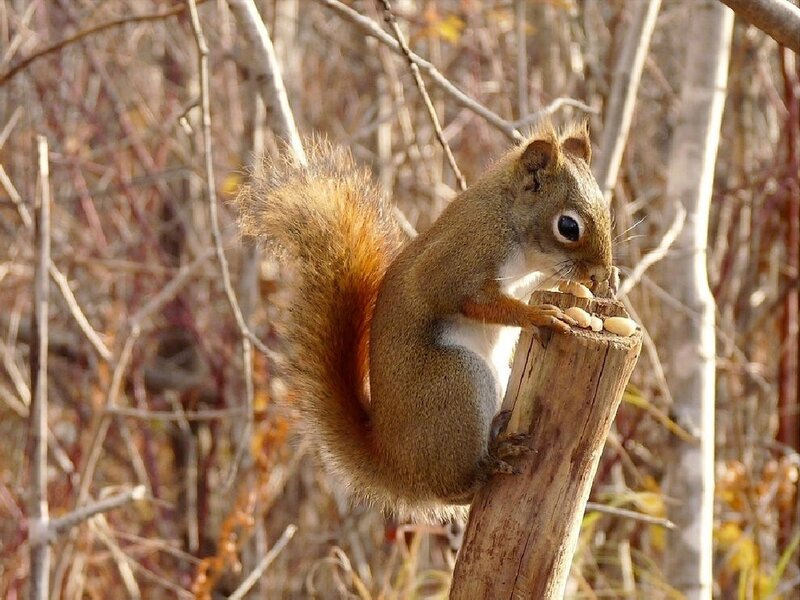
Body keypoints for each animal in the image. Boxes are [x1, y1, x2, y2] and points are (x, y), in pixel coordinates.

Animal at [233, 120, 613, 521]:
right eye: (568, 227)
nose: (601, 274)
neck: (508, 217)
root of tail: (396, 466)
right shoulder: (463, 255)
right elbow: (466, 298)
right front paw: (538, 315)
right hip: (455, 381)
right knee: (456, 489)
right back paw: (491, 460)